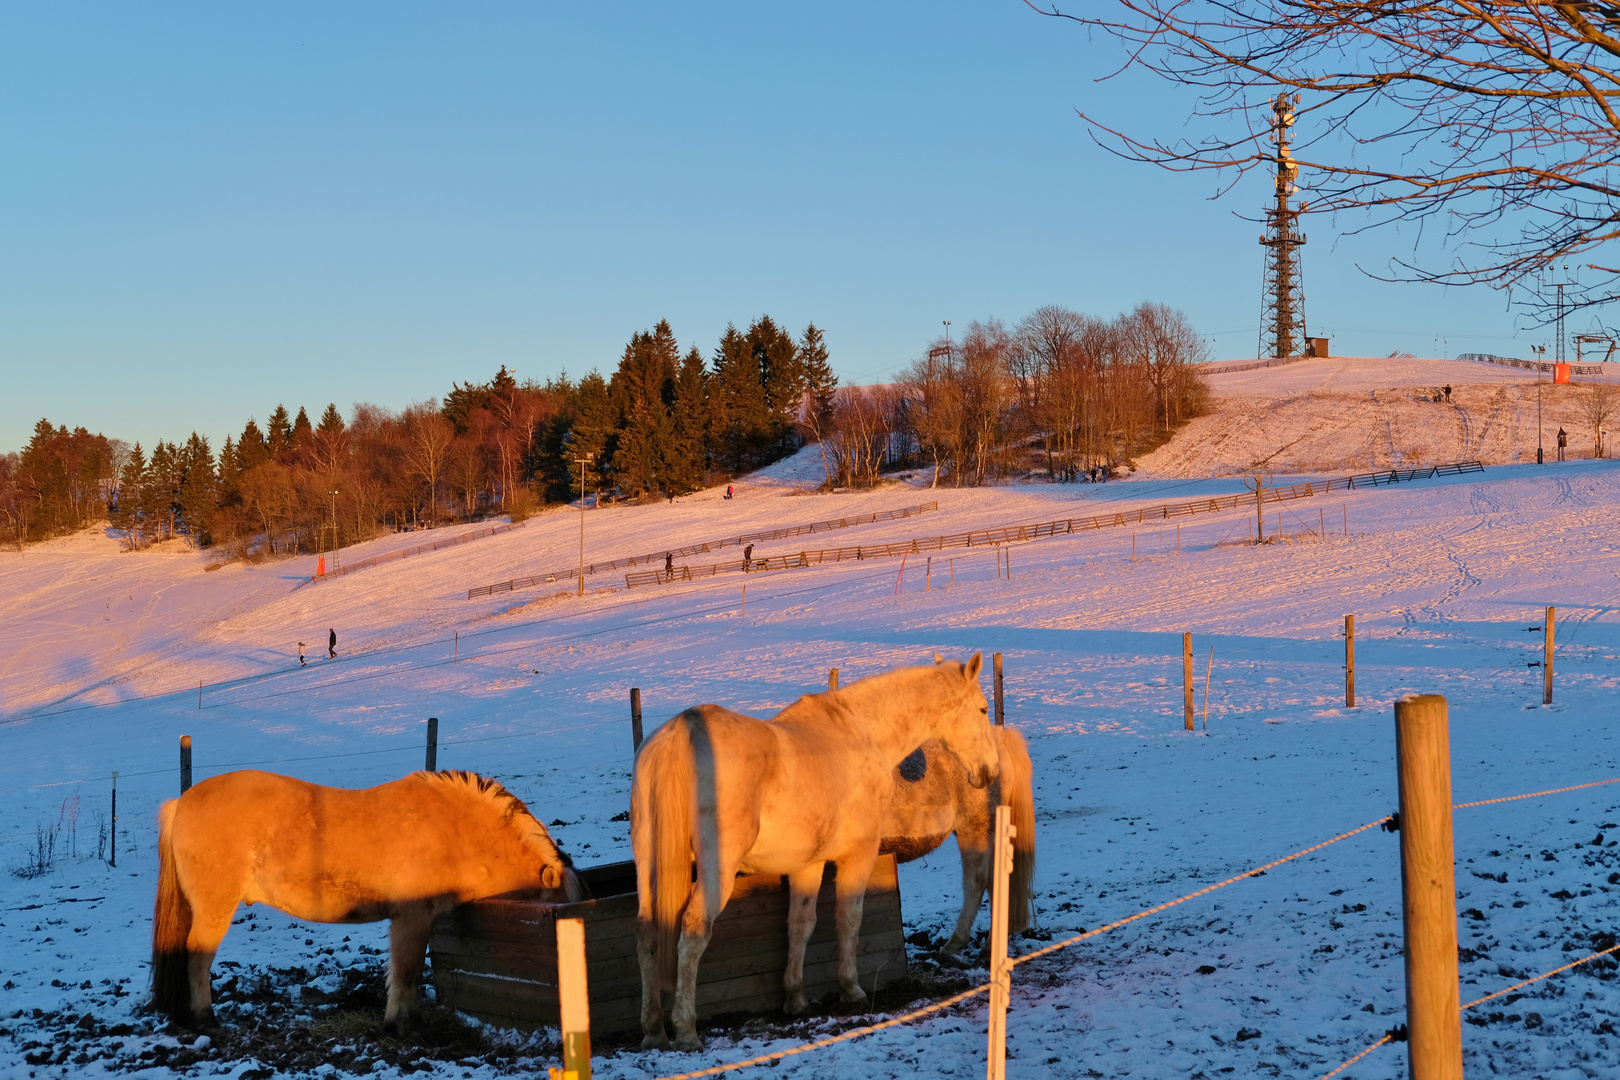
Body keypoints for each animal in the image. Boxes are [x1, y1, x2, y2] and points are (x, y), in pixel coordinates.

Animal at [149, 767, 586, 1029]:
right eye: (557, 908)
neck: (455, 829)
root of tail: (182, 802)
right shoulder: (411, 919)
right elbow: (406, 972)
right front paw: (398, 1027)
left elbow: (410, 973)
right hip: (215, 907)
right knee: (197, 957)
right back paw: (206, 1020)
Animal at [631, 654, 997, 1049]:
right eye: (982, 708)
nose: (989, 771)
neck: (861, 733)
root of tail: (681, 732)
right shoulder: (859, 854)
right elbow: (849, 918)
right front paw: (851, 990)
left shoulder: (808, 865)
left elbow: (800, 924)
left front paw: (796, 999)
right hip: (716, 873)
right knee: (693, 931)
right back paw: (685, 1030)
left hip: (649, 867)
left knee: (647, 934)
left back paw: (653, 1031)